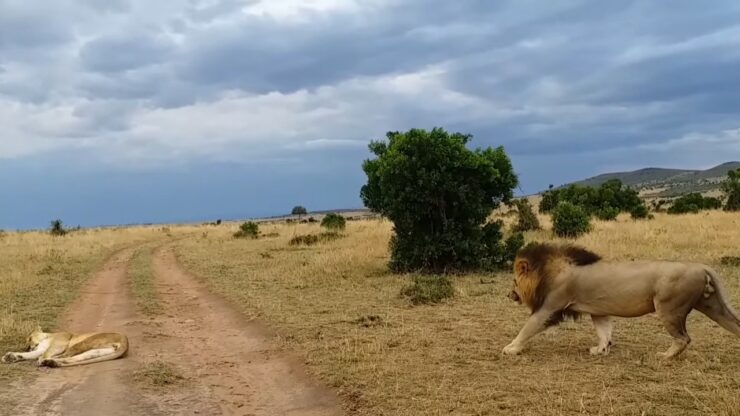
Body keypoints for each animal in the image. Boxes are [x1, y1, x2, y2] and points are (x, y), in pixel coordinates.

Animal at [502, 244, 740, 358]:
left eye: (514, 280)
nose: (508, 294)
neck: (548, 271)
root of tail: (700, 266)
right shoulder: (597, 311)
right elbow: (604, 331)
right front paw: (601, 349)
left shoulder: (550, 306)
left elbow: (527, 328)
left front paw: (511, 348)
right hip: (711, 305)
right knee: (734, 325)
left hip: (668, 308)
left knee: (683, 338)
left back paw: (665, 356)